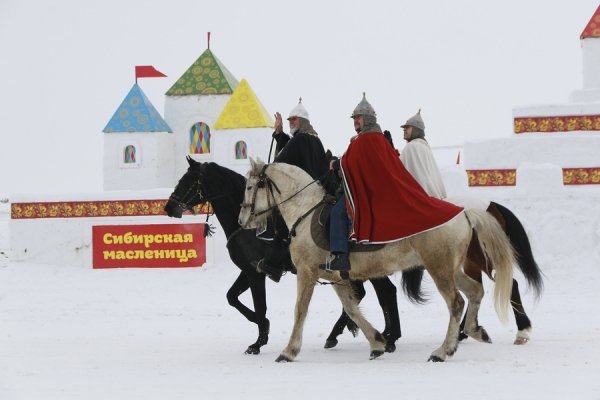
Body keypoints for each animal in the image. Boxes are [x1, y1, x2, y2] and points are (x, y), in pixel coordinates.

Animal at [162, 158, 400, 354]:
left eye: (187, 181)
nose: (169, 207)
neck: (247, 229)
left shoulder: (255, 273)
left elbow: (260, 305)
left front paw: (258, 341)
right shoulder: (248, 270)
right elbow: (232, 297)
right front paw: (262, 327)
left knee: (383, 292)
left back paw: (381, 337)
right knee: (380, 293)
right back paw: (377, 334)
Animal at [239, 159, 516, 362]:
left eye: (250, 187)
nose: (242, 220)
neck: (305, 213)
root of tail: (463, 212)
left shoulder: (308, 272)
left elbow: (300, 310)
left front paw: (289, 351)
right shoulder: (337, 277)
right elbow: (352, 309)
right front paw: (376, 342)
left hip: (439, 268)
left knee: (456, 303)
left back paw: (443, 350)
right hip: (450, 268)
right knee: (475, 291)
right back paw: (474, 331)